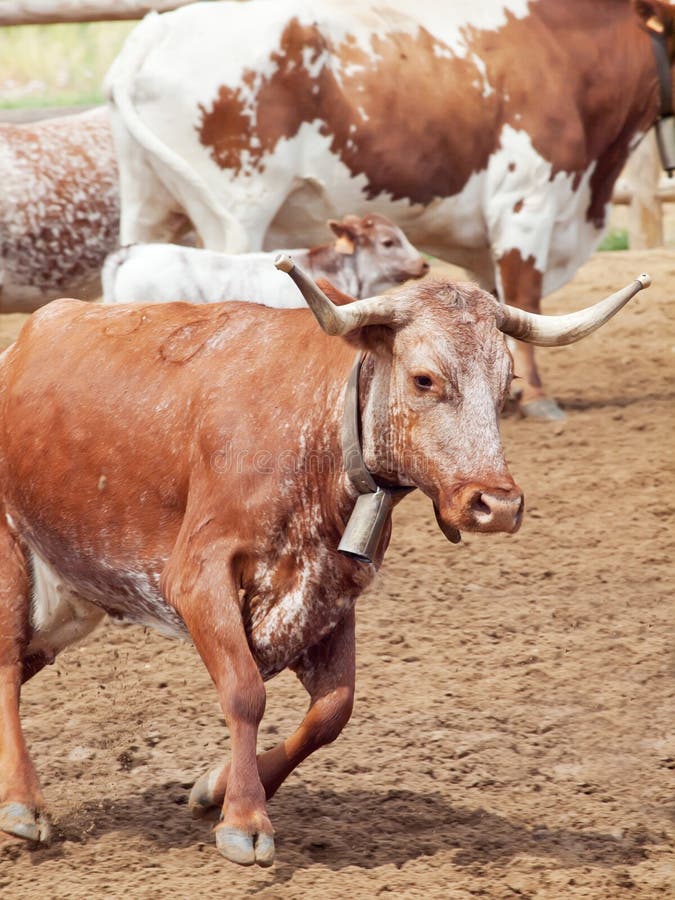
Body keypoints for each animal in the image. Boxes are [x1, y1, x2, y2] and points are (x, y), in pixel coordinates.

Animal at [0, 258, 648, 865]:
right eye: (424, 379)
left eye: (506, 378)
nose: (498, 504)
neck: (317, 428)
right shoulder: (198, 575)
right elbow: (245, 691)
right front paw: (244, 819)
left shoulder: (332, 589)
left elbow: (333, 710)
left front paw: (218, 787)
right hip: (12, 566)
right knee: (6, 667)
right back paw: (25, 805)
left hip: (66, 605)